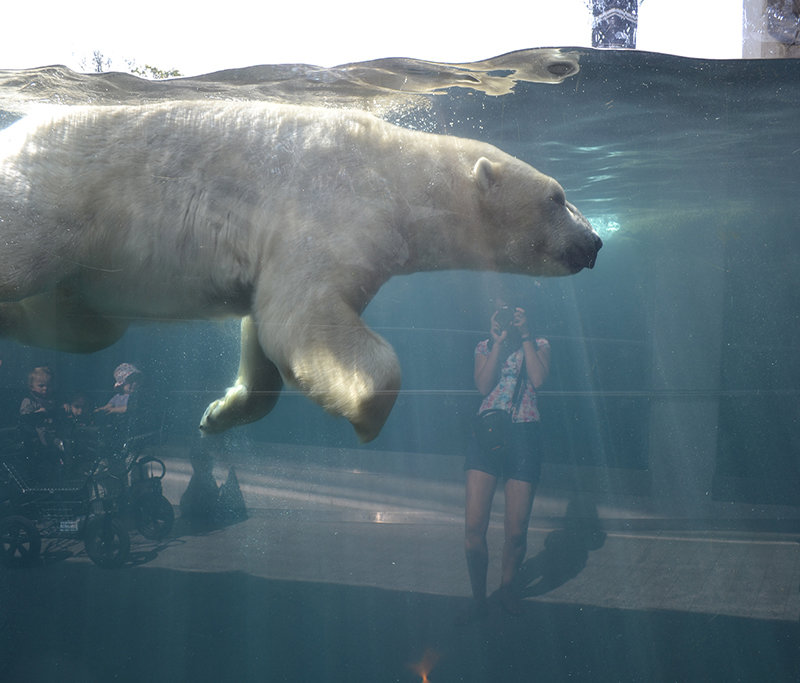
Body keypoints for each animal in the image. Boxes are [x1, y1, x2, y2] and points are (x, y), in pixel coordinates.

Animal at [0, 101, 600, 444]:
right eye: (557, 196)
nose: (594, 243)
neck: (403, 175)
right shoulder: (332, 207)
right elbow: (303, 318)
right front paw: (367, 417)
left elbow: (263, 326)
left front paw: (219, 414)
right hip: (56, 198)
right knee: (26, 264)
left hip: (88, 272)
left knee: (86, 326)